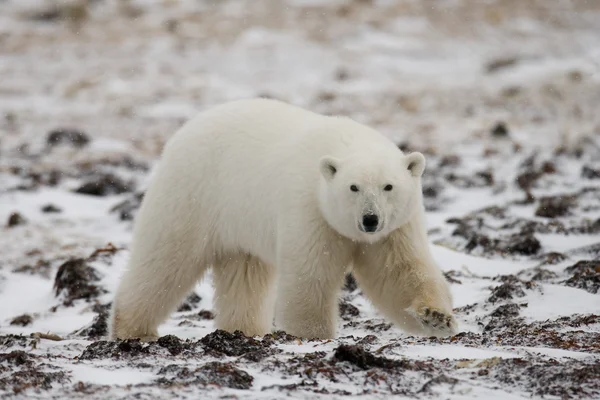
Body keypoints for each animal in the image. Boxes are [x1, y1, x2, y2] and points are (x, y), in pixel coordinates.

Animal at [110, 98, 458, 340]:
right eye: (353, 187)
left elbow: (397, 272)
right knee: (164, 261)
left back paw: (245, 330)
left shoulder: (395, 229)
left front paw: (437, 317)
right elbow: (310, 275)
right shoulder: (309, 208)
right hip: (193, 194)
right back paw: (133, 330)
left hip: (240, 221)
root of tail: (184, 130)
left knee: (245, 274)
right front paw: (313, 335)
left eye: (389, 186)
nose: (370, 219)